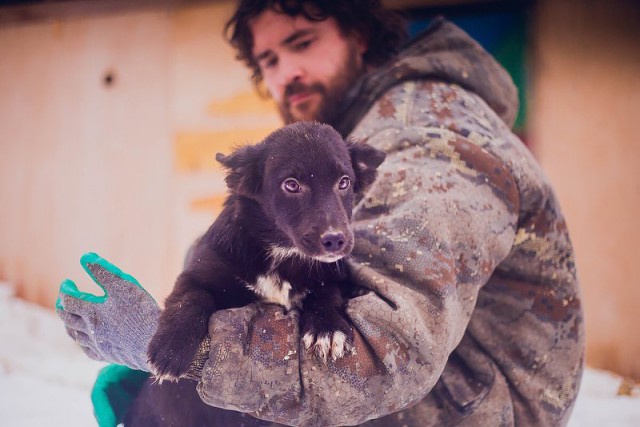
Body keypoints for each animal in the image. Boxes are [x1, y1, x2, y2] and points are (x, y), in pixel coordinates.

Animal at [147, 121, 384, 382]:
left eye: (344, 182)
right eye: (291, 184)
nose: (335, 239)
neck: (282, 254)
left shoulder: (333, 275)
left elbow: (327, 292)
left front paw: (328, 328)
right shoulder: (197, 273)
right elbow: (190, 298)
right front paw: (170, 347)